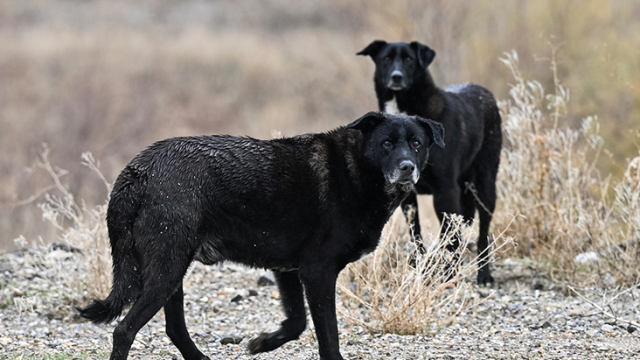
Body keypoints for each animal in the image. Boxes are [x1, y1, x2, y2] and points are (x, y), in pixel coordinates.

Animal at [77, 112, 442, 360]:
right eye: (386, 144)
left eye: (416, 144)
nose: (407, 167)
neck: (356, 171)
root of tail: (138, 170)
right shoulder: (317, 272)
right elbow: (329, 337)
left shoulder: (289, 270)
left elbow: (297, 323)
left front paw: (263, 343)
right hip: (166, 269)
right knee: (124, 330)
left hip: (171, 270)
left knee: (174, 328)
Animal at [358, 40, 502, 286]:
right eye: (386, 59)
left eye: (409, 59)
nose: (396, 77)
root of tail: (485, 92)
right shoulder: (409, 198)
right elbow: (416, 234)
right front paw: (422, 269)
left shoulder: (445, 192)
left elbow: (450, 237)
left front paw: (450, 274)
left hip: (485, 186)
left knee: (483, 232)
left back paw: (484, 274)